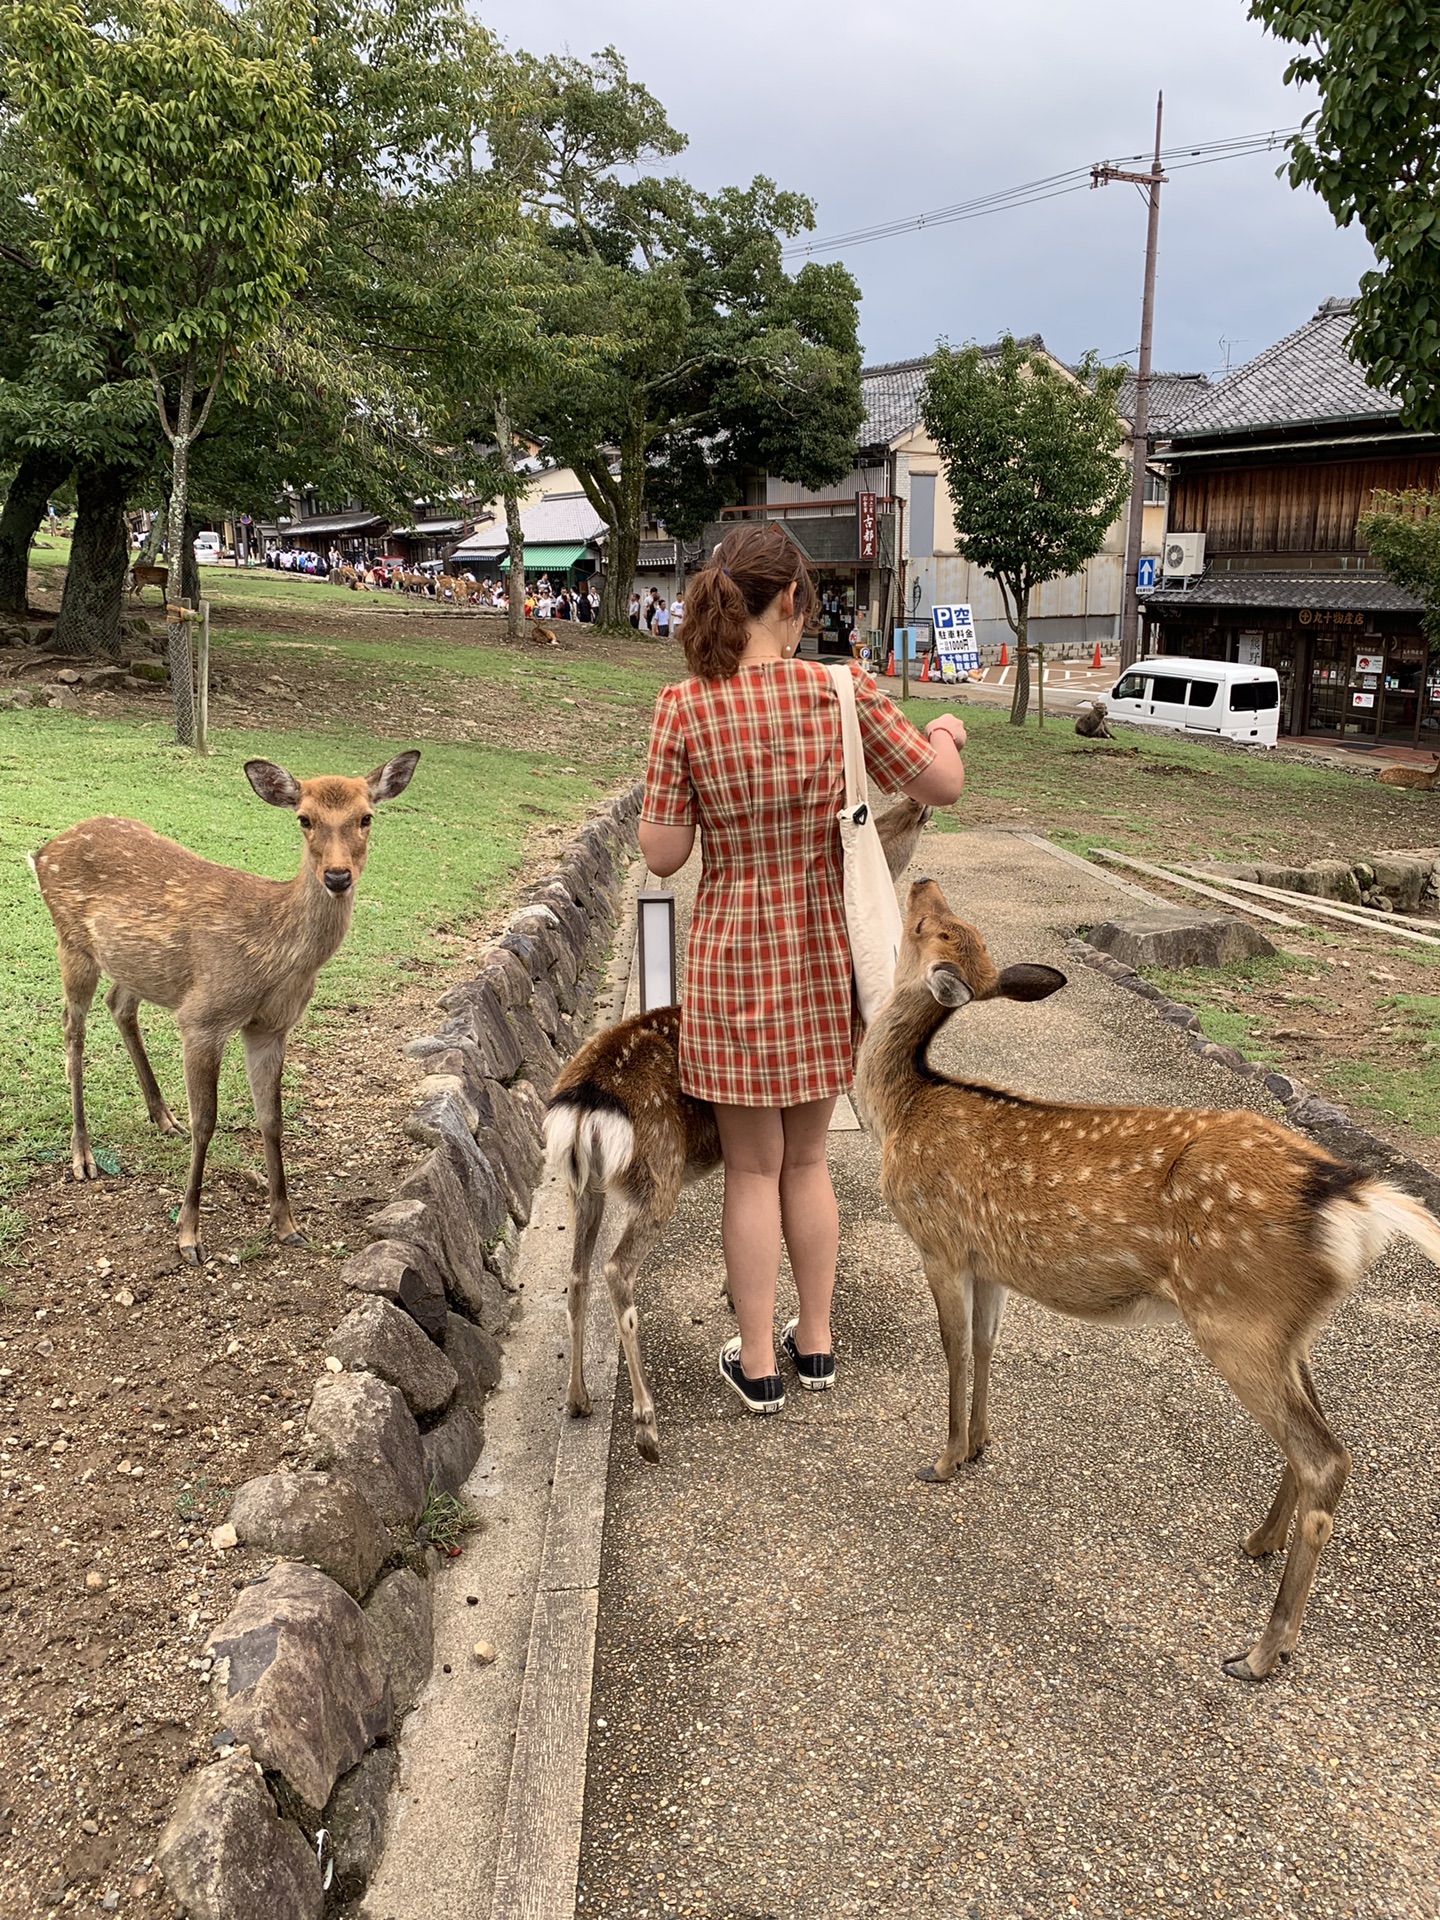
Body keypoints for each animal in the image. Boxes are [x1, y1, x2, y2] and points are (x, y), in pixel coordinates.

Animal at [30, 748, 420, 1259]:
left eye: (366, 817)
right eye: (304, 818)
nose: (338, 876)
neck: (275, 953)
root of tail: (42, 852)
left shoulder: (271, 1026)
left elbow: (271, 1120)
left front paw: (287, 1224)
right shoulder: (203, 1018)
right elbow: (207, 1123)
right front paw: (188, 1235)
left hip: (137, 966)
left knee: (120, 1005)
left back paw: (163, 1117)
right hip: (71, 942)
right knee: (72, 1029)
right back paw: (83, 1154)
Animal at [541, 791, 936, 1451]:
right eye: (878, 829)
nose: (917, 803)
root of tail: (585, 1104)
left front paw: (732, 1294)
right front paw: (741, 1304)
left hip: (581, 1182)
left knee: (575, 1277)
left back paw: (577, 1399)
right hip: (657, 1172)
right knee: (617, 1272)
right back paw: (646, 1423)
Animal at [856, 879, 1440, 1681]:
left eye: (929, 926)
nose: (920, 882)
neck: (903, 1110)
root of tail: (1351, 1196)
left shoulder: (937, 1240)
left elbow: (950, 1349)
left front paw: (941, 1461)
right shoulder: (989, 1261)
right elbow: (983, 1345)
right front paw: (979, 1444)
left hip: (1236, 1316)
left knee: (1325, 1455)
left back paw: (1262, 1651)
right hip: (1285, 1325)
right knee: (1318, 1437)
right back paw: (1258, 1543)